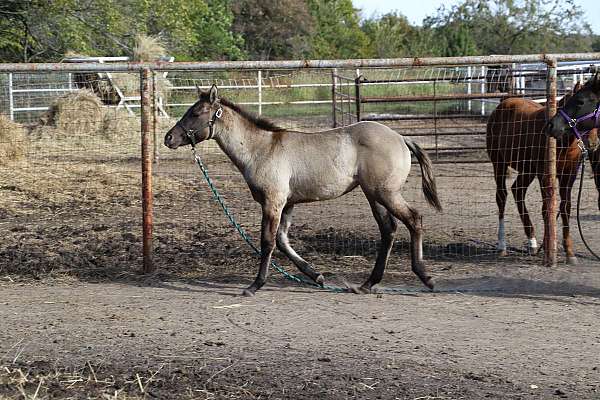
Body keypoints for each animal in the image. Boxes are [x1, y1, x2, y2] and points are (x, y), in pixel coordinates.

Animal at [486, 85, 596, 262]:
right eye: (579, 105)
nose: (593, 143)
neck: (562, 142)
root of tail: (502, 105)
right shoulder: (544, 174)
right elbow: (547, 209)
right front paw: (549, 248)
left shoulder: (569, 175)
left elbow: (565, 207)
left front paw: (569, 252)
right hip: (499, 163)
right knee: (502, 196)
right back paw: (502, 245)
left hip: (527, 170)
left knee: (518, 191)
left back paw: (532, 241)